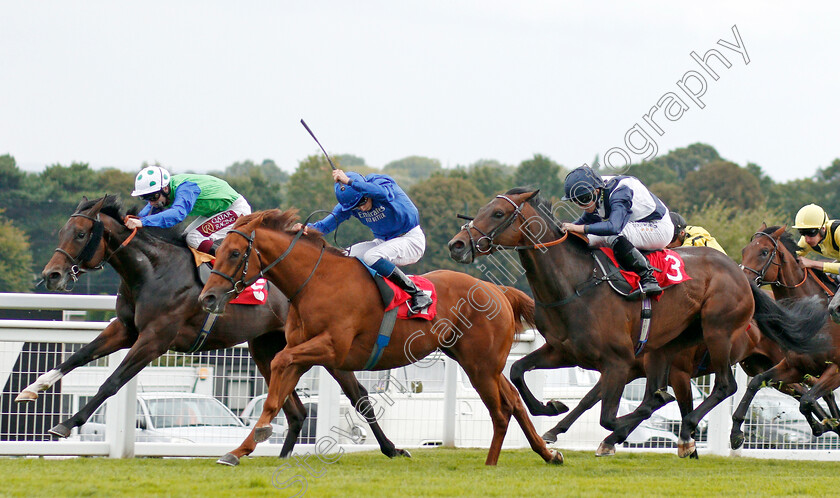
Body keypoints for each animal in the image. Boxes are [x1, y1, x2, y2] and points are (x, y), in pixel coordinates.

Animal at [34, 193, 408, 464]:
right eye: (62, 232)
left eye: (81, 234)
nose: (52, 275)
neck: (151, 271)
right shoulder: (126, 329)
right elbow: (77, 357)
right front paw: (33, 388)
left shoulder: (155, 339)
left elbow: (111, 382)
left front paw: (64, 425)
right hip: (267, 347)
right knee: (296, 410)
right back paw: (274, 456)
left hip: (324, 347)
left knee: (359, 396)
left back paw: (391, 448)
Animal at [199, 208, 564, 464]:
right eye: (217, 250)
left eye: (235, 254)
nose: (208, 297)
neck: (315, 282)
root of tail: (498, 290)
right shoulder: (310, 352)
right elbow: (279, 392)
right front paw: (239, 450)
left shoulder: (330, 348)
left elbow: (280, 363)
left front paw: (258, 435)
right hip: (477, 361)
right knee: (514, 400)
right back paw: (548, 453)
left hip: (480, 365)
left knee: (504, 407)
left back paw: (500, 460)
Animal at [732, 225, 840, 448]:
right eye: (745, 250)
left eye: (764, 252)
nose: (742, 282)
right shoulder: (794, 367)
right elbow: (756, 383)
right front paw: (736, 432)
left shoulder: (835, 369)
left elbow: (807, 400)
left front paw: (823, 426)